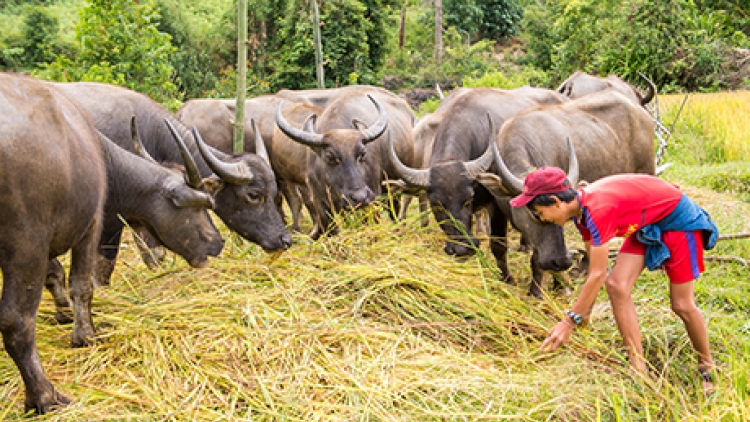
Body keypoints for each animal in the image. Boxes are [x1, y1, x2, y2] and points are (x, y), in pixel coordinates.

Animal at [0, 71, 106, 412]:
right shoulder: (92, 224)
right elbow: (82, 285)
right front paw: (85, 335)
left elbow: (55, 273)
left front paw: (63, 311)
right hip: (25, 245)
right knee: (16, 321)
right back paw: (45, 395)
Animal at [52, 81, 294, 282]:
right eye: (253, 195)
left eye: (274, 193)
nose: (285, 240)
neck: (151, 134)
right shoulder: (111, 220)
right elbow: (103, 268)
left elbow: (156, 254)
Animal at [276, 92, 418, 237]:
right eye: (330, 157)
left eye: (363, 153)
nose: (360, 198)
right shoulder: (319, 199)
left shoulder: (373, 196)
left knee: (394, 210)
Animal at [476, 90, 656, 296]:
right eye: (535, 213)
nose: (562, 261)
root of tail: (639, 110)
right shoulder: (496, 209)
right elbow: (498, 247)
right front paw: (507, 279)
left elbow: (536, 258)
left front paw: (536, 291)